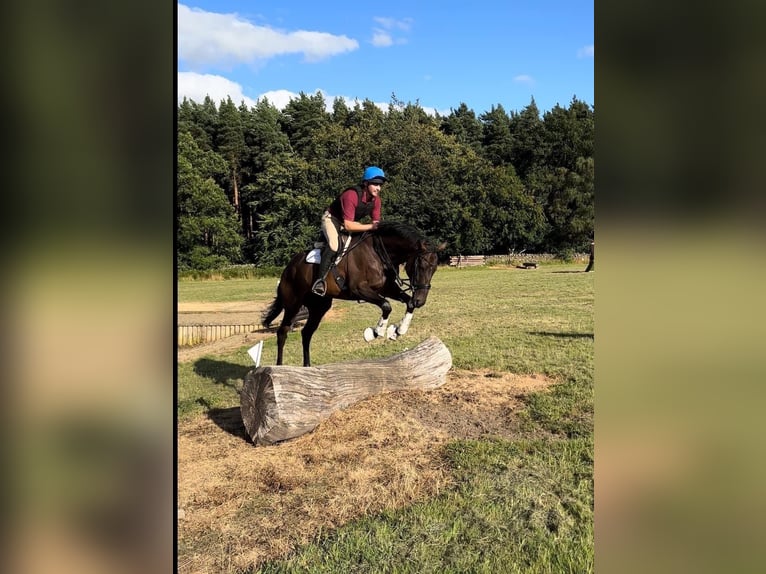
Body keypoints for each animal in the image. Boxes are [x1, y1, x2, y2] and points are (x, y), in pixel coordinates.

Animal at [262, 223, 448, 366]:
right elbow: (386, 305)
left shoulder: (388, 288)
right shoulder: (360, 289)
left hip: (319, 307)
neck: (379, 253)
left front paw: (398, 330)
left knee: (306, 333)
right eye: (421, 266)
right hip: (293, 304)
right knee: (282, 332)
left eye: (434, 268)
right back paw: (279, 367)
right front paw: (375, 333)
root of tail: (288, 268)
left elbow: (406, 303)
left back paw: (307, 367)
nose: (420, 300)